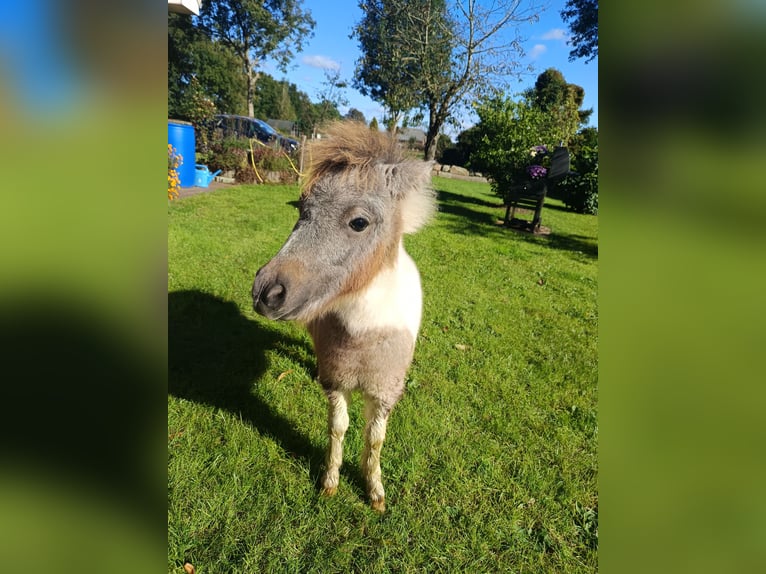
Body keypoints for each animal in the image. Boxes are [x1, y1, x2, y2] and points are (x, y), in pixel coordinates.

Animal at [255, 121, 436, 512]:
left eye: (359, 222)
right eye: (301, 209)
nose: (265, 292)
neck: (364, 334)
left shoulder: (384, 393)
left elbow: (374, 439)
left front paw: (375, 492)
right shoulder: (336, 383)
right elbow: (338, 428)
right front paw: (330, 483)